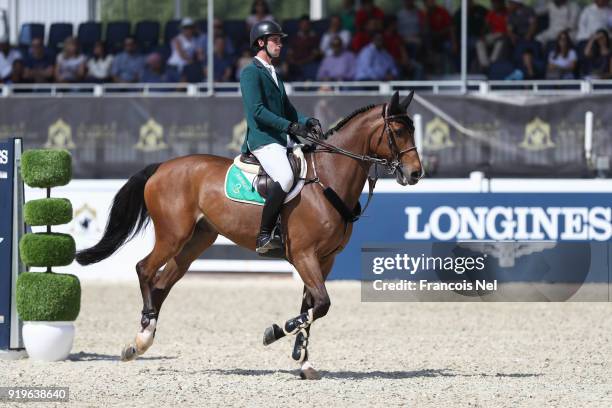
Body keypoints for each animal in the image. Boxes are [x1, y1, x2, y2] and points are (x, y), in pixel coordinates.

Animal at [75, 90, 420, 380]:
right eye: (398, 131)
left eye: (413, 129)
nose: (416, 173)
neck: (328, 179)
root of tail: (162, 166)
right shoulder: (304, 255)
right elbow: (320, 304)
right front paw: (275, 332)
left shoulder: (325, 260)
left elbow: (310, 307)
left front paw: (304, 360)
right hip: (173, 235)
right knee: (144, 269)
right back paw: (145, 333)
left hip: (195, 242)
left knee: (161, 283)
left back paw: (138, 343)